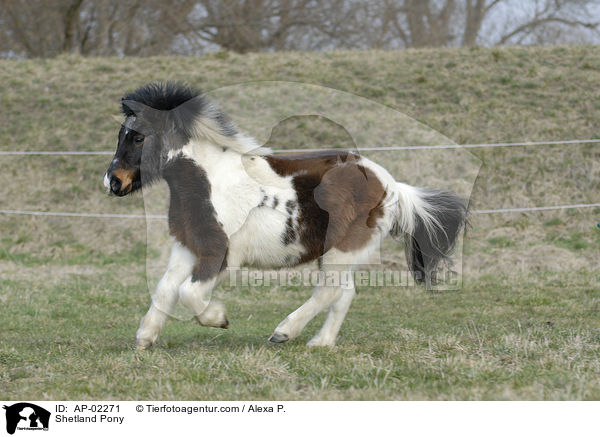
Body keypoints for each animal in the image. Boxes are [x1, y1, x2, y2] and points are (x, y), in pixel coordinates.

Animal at [104, 82, 468, 348]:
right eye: (122, 134)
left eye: (138, 137)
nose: (112, 181)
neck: (209, 181)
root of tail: (390, 185)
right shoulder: (189, 245)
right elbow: (165, 289)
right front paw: (145, 338)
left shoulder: (221, 254)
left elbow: (189, 294)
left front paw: (219, 318)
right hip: (338, 254)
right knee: (344, 293)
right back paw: (321, 342)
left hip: (343, 250)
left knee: (329, 292)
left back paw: (284, 332)